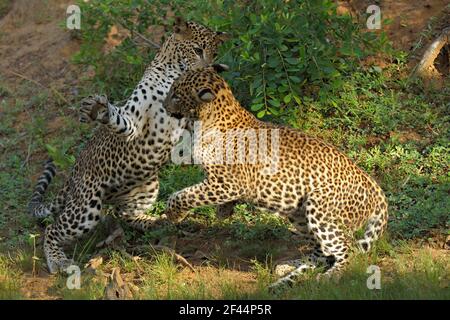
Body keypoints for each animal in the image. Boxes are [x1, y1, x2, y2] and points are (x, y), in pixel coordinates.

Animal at [28, 18, 230, 272]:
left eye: (214, 54)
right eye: (197, 50)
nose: (209, 68)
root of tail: (74, 171)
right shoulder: (133, 120)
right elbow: (118, 118)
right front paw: (99, 109)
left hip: (147, 187)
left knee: (124, 214)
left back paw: (157, 222)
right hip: (86, 207)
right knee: (52, 228)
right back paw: (58, 260)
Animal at [161, 64, 386, 290]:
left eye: (176, 95)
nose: (164, 106)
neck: (206, 122)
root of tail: (377, 191)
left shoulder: (229, 183)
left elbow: (185, 195)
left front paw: (174, 213)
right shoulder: (222, 184)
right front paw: (224, 211)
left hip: (321, 210)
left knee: (347, 249)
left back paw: (332, 275)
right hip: (299, 214)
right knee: (322, 253)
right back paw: (289, 266)